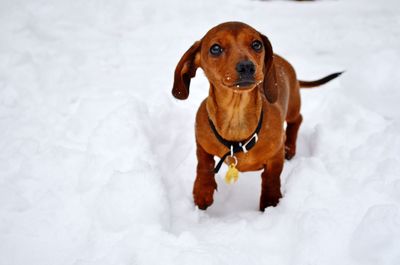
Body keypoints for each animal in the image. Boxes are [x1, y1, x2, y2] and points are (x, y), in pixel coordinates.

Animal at [171, 21, 340, 210]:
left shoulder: (275, 155)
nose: (246, 66)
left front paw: (270, 202)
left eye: (257, 44)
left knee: (297, 120)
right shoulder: (201, 140)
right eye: (215, 48)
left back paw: (290, 148)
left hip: (292, 107)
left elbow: (271, 178)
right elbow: (204, 164)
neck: (236, 120)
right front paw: (203, 191)